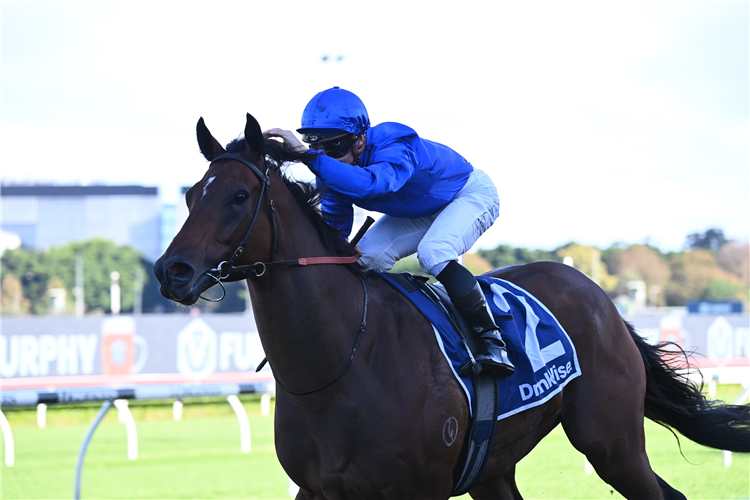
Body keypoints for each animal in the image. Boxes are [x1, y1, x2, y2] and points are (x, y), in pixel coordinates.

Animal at [154, 114, 750, 500]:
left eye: (238, 196)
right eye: (190, 195)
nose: (171, 271)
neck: (342, 362)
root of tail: (595, 293)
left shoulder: (416, 488)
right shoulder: (318, 489)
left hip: (612, 441)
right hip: (495, 467)